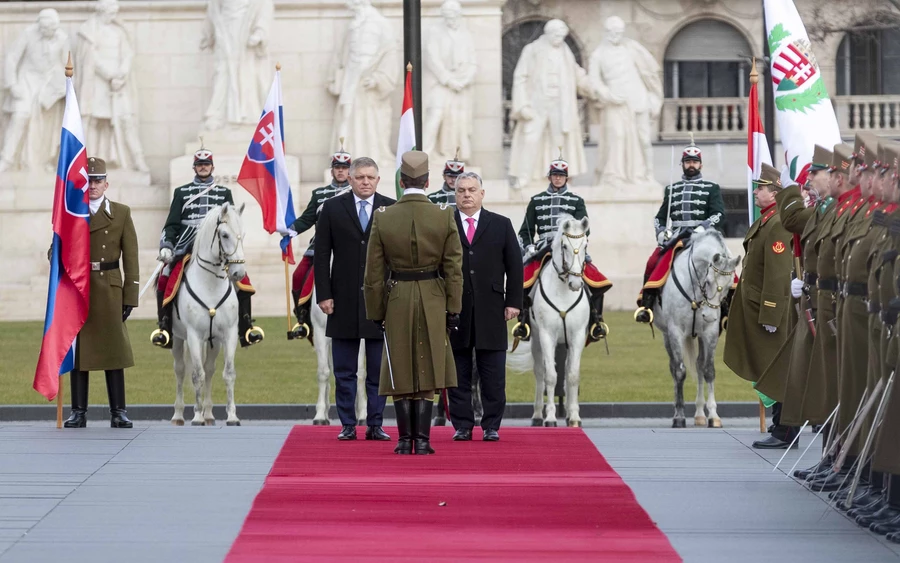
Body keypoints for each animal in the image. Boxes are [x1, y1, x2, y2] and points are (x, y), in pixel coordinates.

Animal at [169, 204, 244, 428]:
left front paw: (232, 416)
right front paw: (197, 416)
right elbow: (196, 375)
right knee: (180, 370)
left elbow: (228, 373)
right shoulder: (193, 335)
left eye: (243, 235)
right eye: (225, 235)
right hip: (178, 338)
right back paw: (179, 414)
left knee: (210, 369)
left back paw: (209, 413)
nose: (239, 273)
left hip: (213, 341)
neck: (210, 285)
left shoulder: (228, 334)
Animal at [510, 216, 596, 428]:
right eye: (564, 246)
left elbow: (572, 375)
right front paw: (549, 417)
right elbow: (550, 376)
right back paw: (537, 415)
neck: (563, 291)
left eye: (585, 245)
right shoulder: (546, 335)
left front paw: (575, 417)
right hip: (536, 339)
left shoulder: (577, 336)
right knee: (540, 372)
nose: (576, 284)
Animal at [652, 229, 740, 428]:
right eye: (708, 281)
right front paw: (679, 416)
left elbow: (708, 370)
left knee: (699, 365)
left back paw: (700, 413)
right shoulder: (675, 331)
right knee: (673, 367)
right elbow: (680, 371)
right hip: (666, 335)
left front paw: (713, 415)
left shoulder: (710, 333)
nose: (710, 316)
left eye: (729, 287)